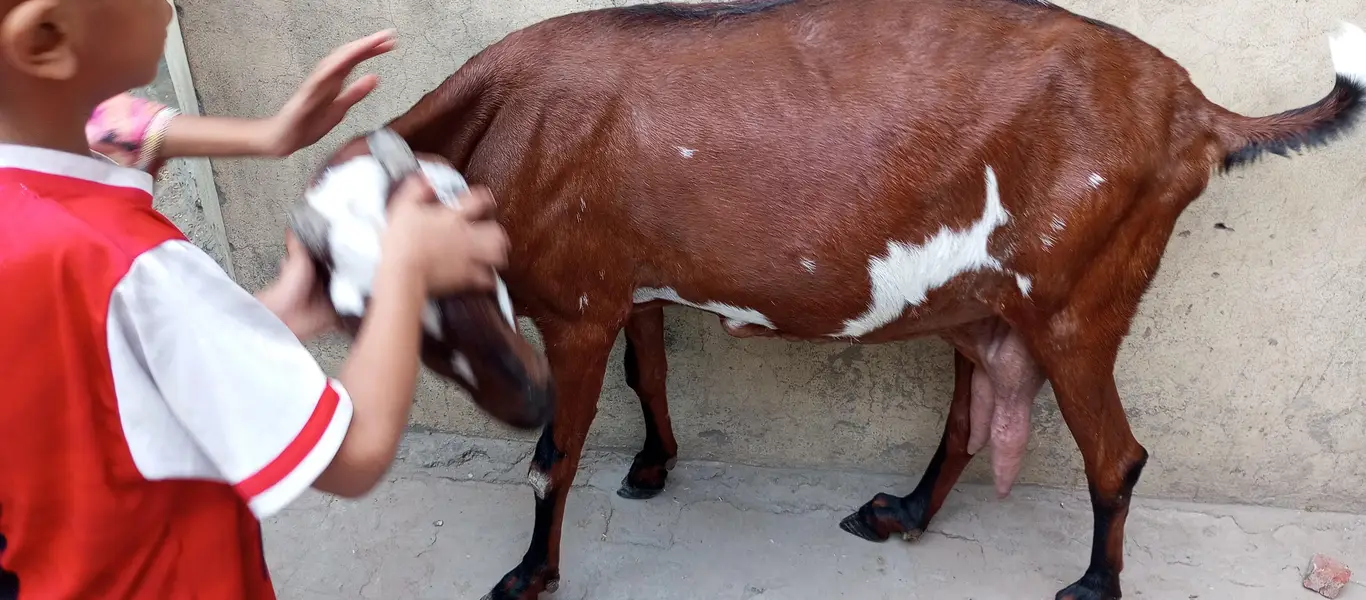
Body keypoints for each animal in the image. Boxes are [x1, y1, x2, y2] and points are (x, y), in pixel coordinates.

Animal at [310, 0, 1366, 598]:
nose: (512, 392)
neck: (501, 128)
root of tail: (1199, 114)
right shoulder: (627, 284)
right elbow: (649, 374)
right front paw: (653, 464)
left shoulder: (573, 308)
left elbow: (552, 457)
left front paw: (531, 575)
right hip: (983, 311)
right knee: (969, 424)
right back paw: (899, 511)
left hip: (1075, 309)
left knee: (1120, 456)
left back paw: (1094, 586)